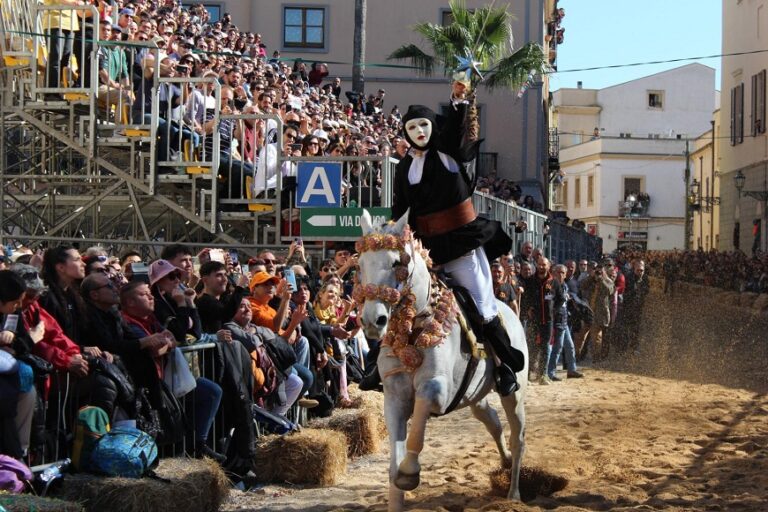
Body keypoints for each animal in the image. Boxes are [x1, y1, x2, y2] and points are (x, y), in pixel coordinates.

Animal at [356, 210, 528, 510]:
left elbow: (417, 431)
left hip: (514, 394)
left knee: (518, 436)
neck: (411, 332)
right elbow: (393, 464)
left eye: (396, 263)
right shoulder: (394, 398)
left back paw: (514, 493)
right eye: (361, 263)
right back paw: (505, 463)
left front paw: (409, 473)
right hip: (475, 395)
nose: (372, 321)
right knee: (492, 420)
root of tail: (510, 311)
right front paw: (397, 495)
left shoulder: (437, 390)